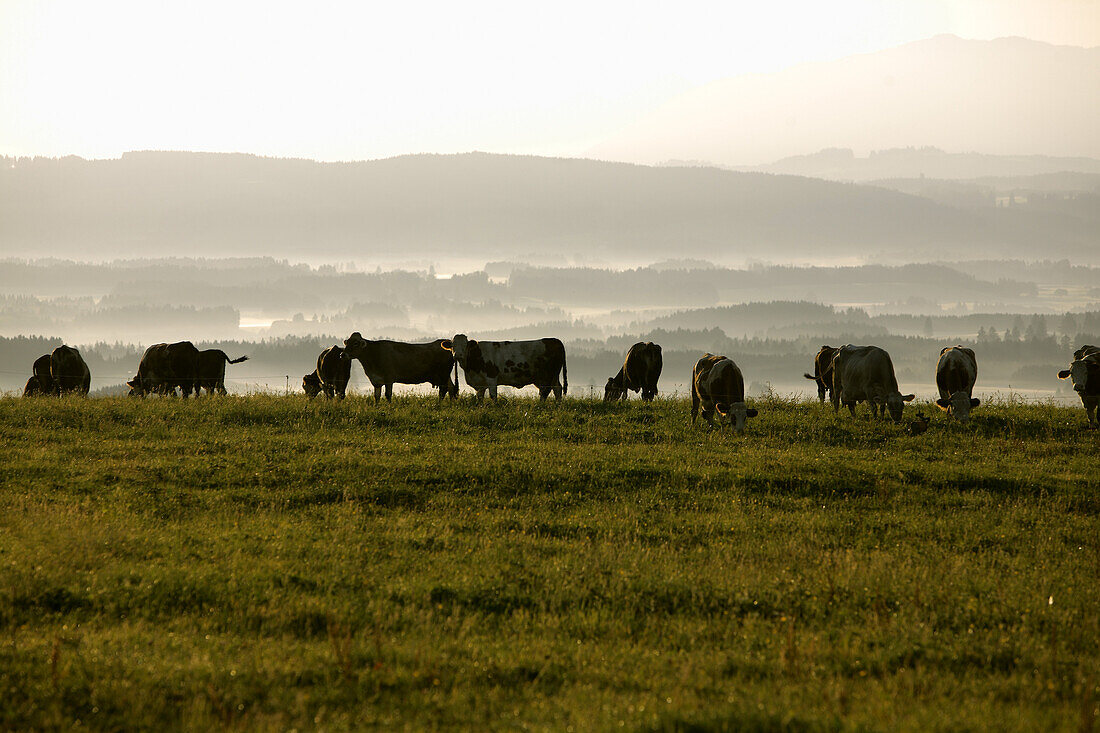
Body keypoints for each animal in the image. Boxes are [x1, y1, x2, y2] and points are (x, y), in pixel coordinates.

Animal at [442, 332, 572, 400]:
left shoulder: (491, 377)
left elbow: (493, 395)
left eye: (465, 346)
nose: (457, 355)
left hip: (547, 375)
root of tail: (554, 340)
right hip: (553, 375)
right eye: (453, 345)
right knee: (557, 389)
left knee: (546, 391)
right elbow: (480, 396)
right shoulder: (480, 382)